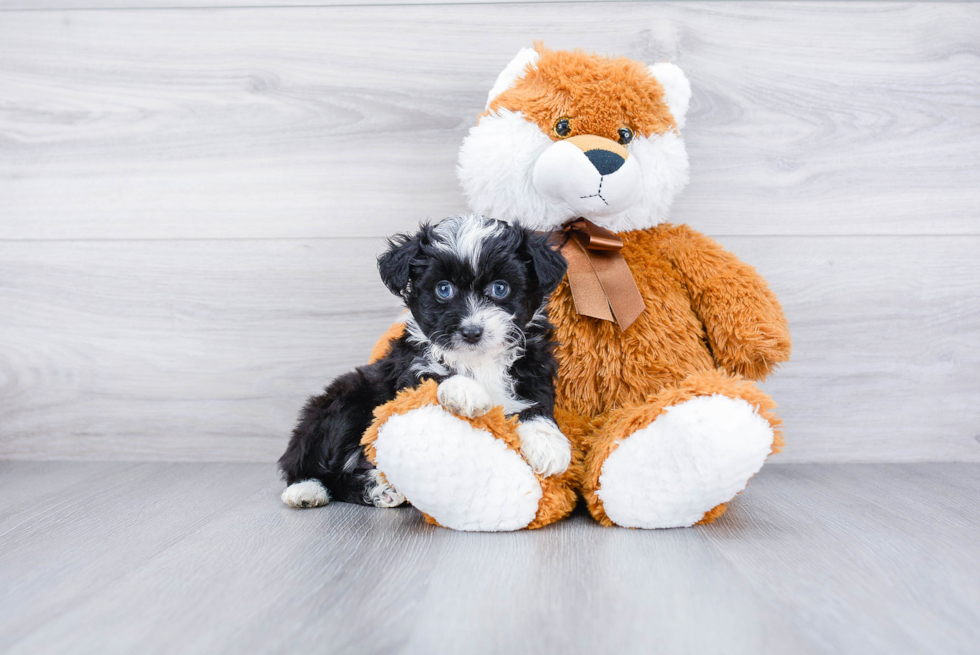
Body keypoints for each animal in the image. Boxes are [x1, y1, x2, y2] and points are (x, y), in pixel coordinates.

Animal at [276, 213, 572, 510]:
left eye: (500, 288)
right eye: (444, 289)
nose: (471, 331)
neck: (478, 360)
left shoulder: (534, 366)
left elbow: (535, 402)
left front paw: (548, 443)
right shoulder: (410, 370)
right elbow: (435, 377)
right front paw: (467, 391)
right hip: (345, 403)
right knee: (321, 470)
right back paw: (314, 490)